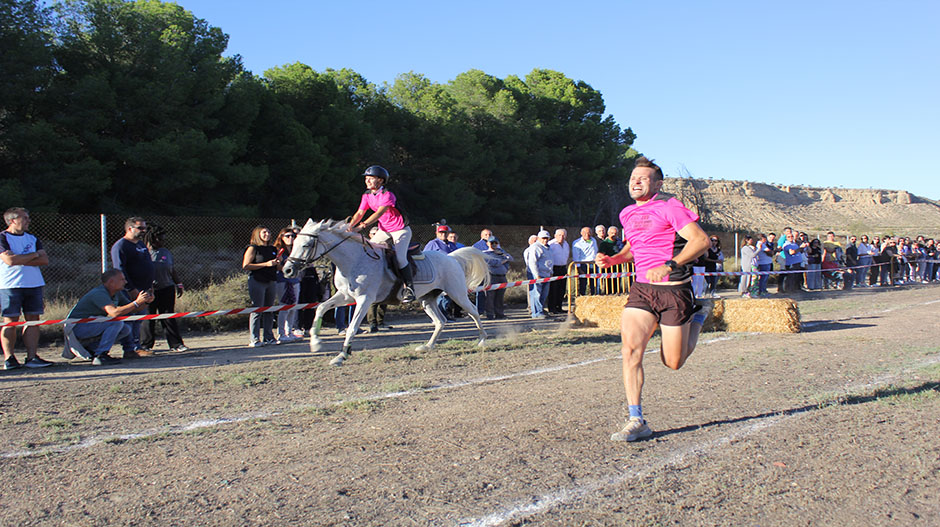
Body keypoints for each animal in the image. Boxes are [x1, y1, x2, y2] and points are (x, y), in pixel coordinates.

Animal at [280, 221, 492, 366]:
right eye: (294, 242)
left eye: (306, 245)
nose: (287, 270)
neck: (353, 260)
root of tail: (451, 257)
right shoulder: (346, 296)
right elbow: (321, 307)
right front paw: (316, 343)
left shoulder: (364, 299)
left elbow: (352, 327)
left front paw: (342, 355)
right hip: (427, 299)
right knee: (440, 321)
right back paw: (427, 346)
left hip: (457, 294)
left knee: (473, 311)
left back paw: (482, 340)